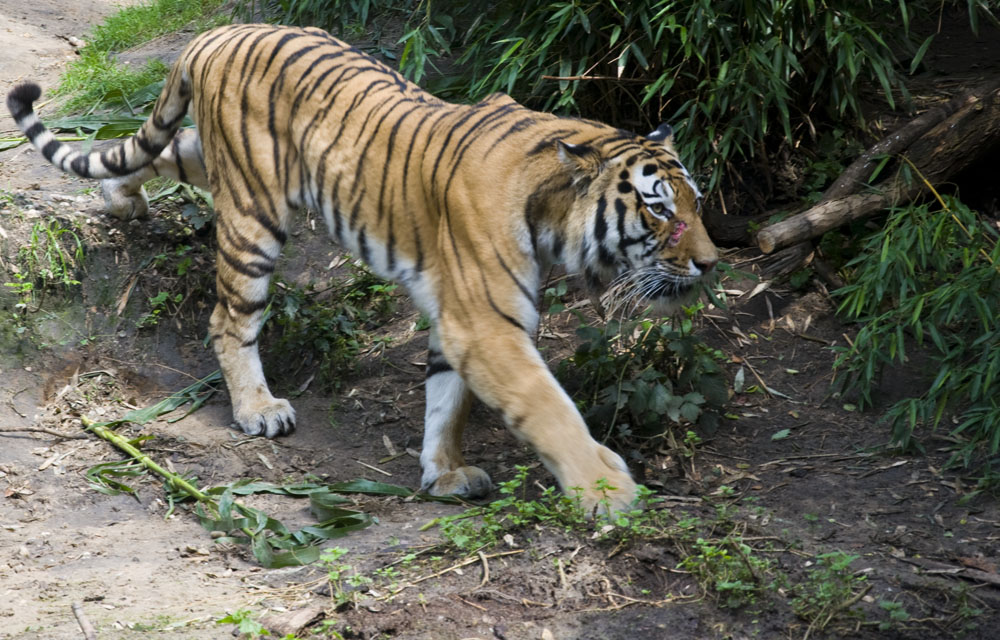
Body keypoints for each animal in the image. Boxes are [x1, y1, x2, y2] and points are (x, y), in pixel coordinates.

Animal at [11, 25, 724, 512]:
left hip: (217, 161)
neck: (549, 212)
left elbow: (447, 401)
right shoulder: (488, 325)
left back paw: (119, 198)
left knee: (152, 151)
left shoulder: (456, 321)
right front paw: (606, 489)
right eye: (660, 210)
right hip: (254, 215)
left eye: (696, 202)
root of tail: (218, 32)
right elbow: (548, 407)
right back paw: (258, 409)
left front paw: (443, 474)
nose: (712, 263)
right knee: (227, 318)